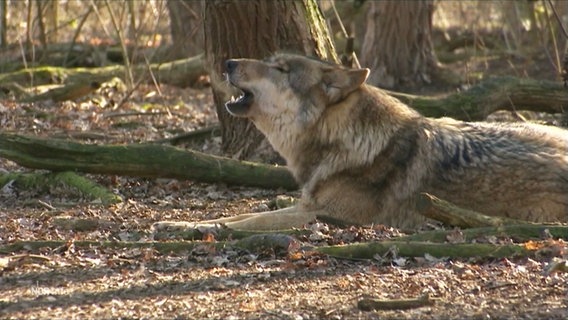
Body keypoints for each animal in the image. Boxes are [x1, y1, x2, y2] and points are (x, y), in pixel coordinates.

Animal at [154, 52, 568, 230]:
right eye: (271, 61)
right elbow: (234, 215)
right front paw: (177, 223)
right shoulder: (307, 204)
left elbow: (237, 223)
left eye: (281, 69)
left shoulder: (320, 215)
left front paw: (181, 228)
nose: (227, 62)